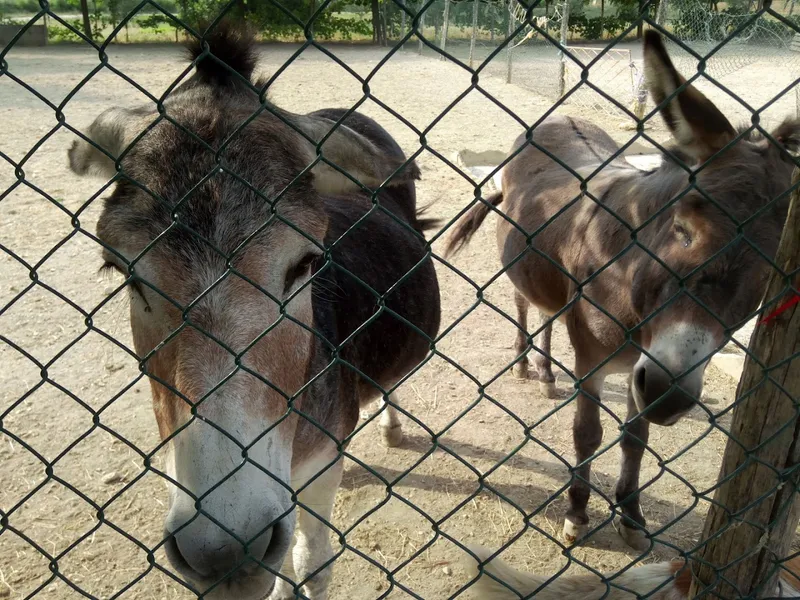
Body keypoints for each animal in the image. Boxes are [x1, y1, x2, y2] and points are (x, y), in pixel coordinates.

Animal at [445, 30, 799, 550]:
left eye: (777, 268)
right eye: (681, 227)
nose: (668, 396)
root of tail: (559, 117)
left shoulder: (641, 364)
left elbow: (636, 437)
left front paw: (631, 515)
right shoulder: (594, 361)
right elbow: (587, 434)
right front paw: (576, 513)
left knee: (549, 313)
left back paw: (546, 371)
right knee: (525, 304)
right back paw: (524, 363)